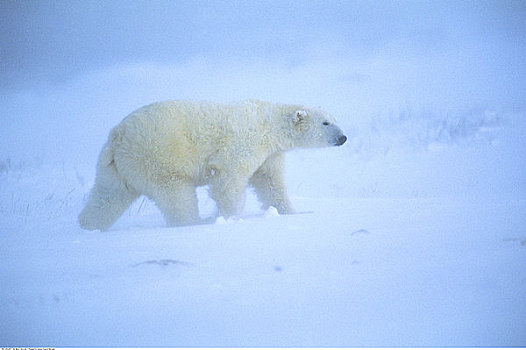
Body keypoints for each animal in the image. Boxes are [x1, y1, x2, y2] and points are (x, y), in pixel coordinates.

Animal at [78, 99, 346, 230]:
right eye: (325, 123)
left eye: (335, 119)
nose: (343, 138)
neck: (268, 124)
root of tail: (117, 137)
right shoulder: (245, 142)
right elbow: (228, 178)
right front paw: (228, 217)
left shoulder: (269, 154)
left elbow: (270, 182)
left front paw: (294, 212)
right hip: (157, 154)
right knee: (176, 192)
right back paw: (197, 222)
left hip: (116, 168)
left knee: (107, 197)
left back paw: (87, 226)